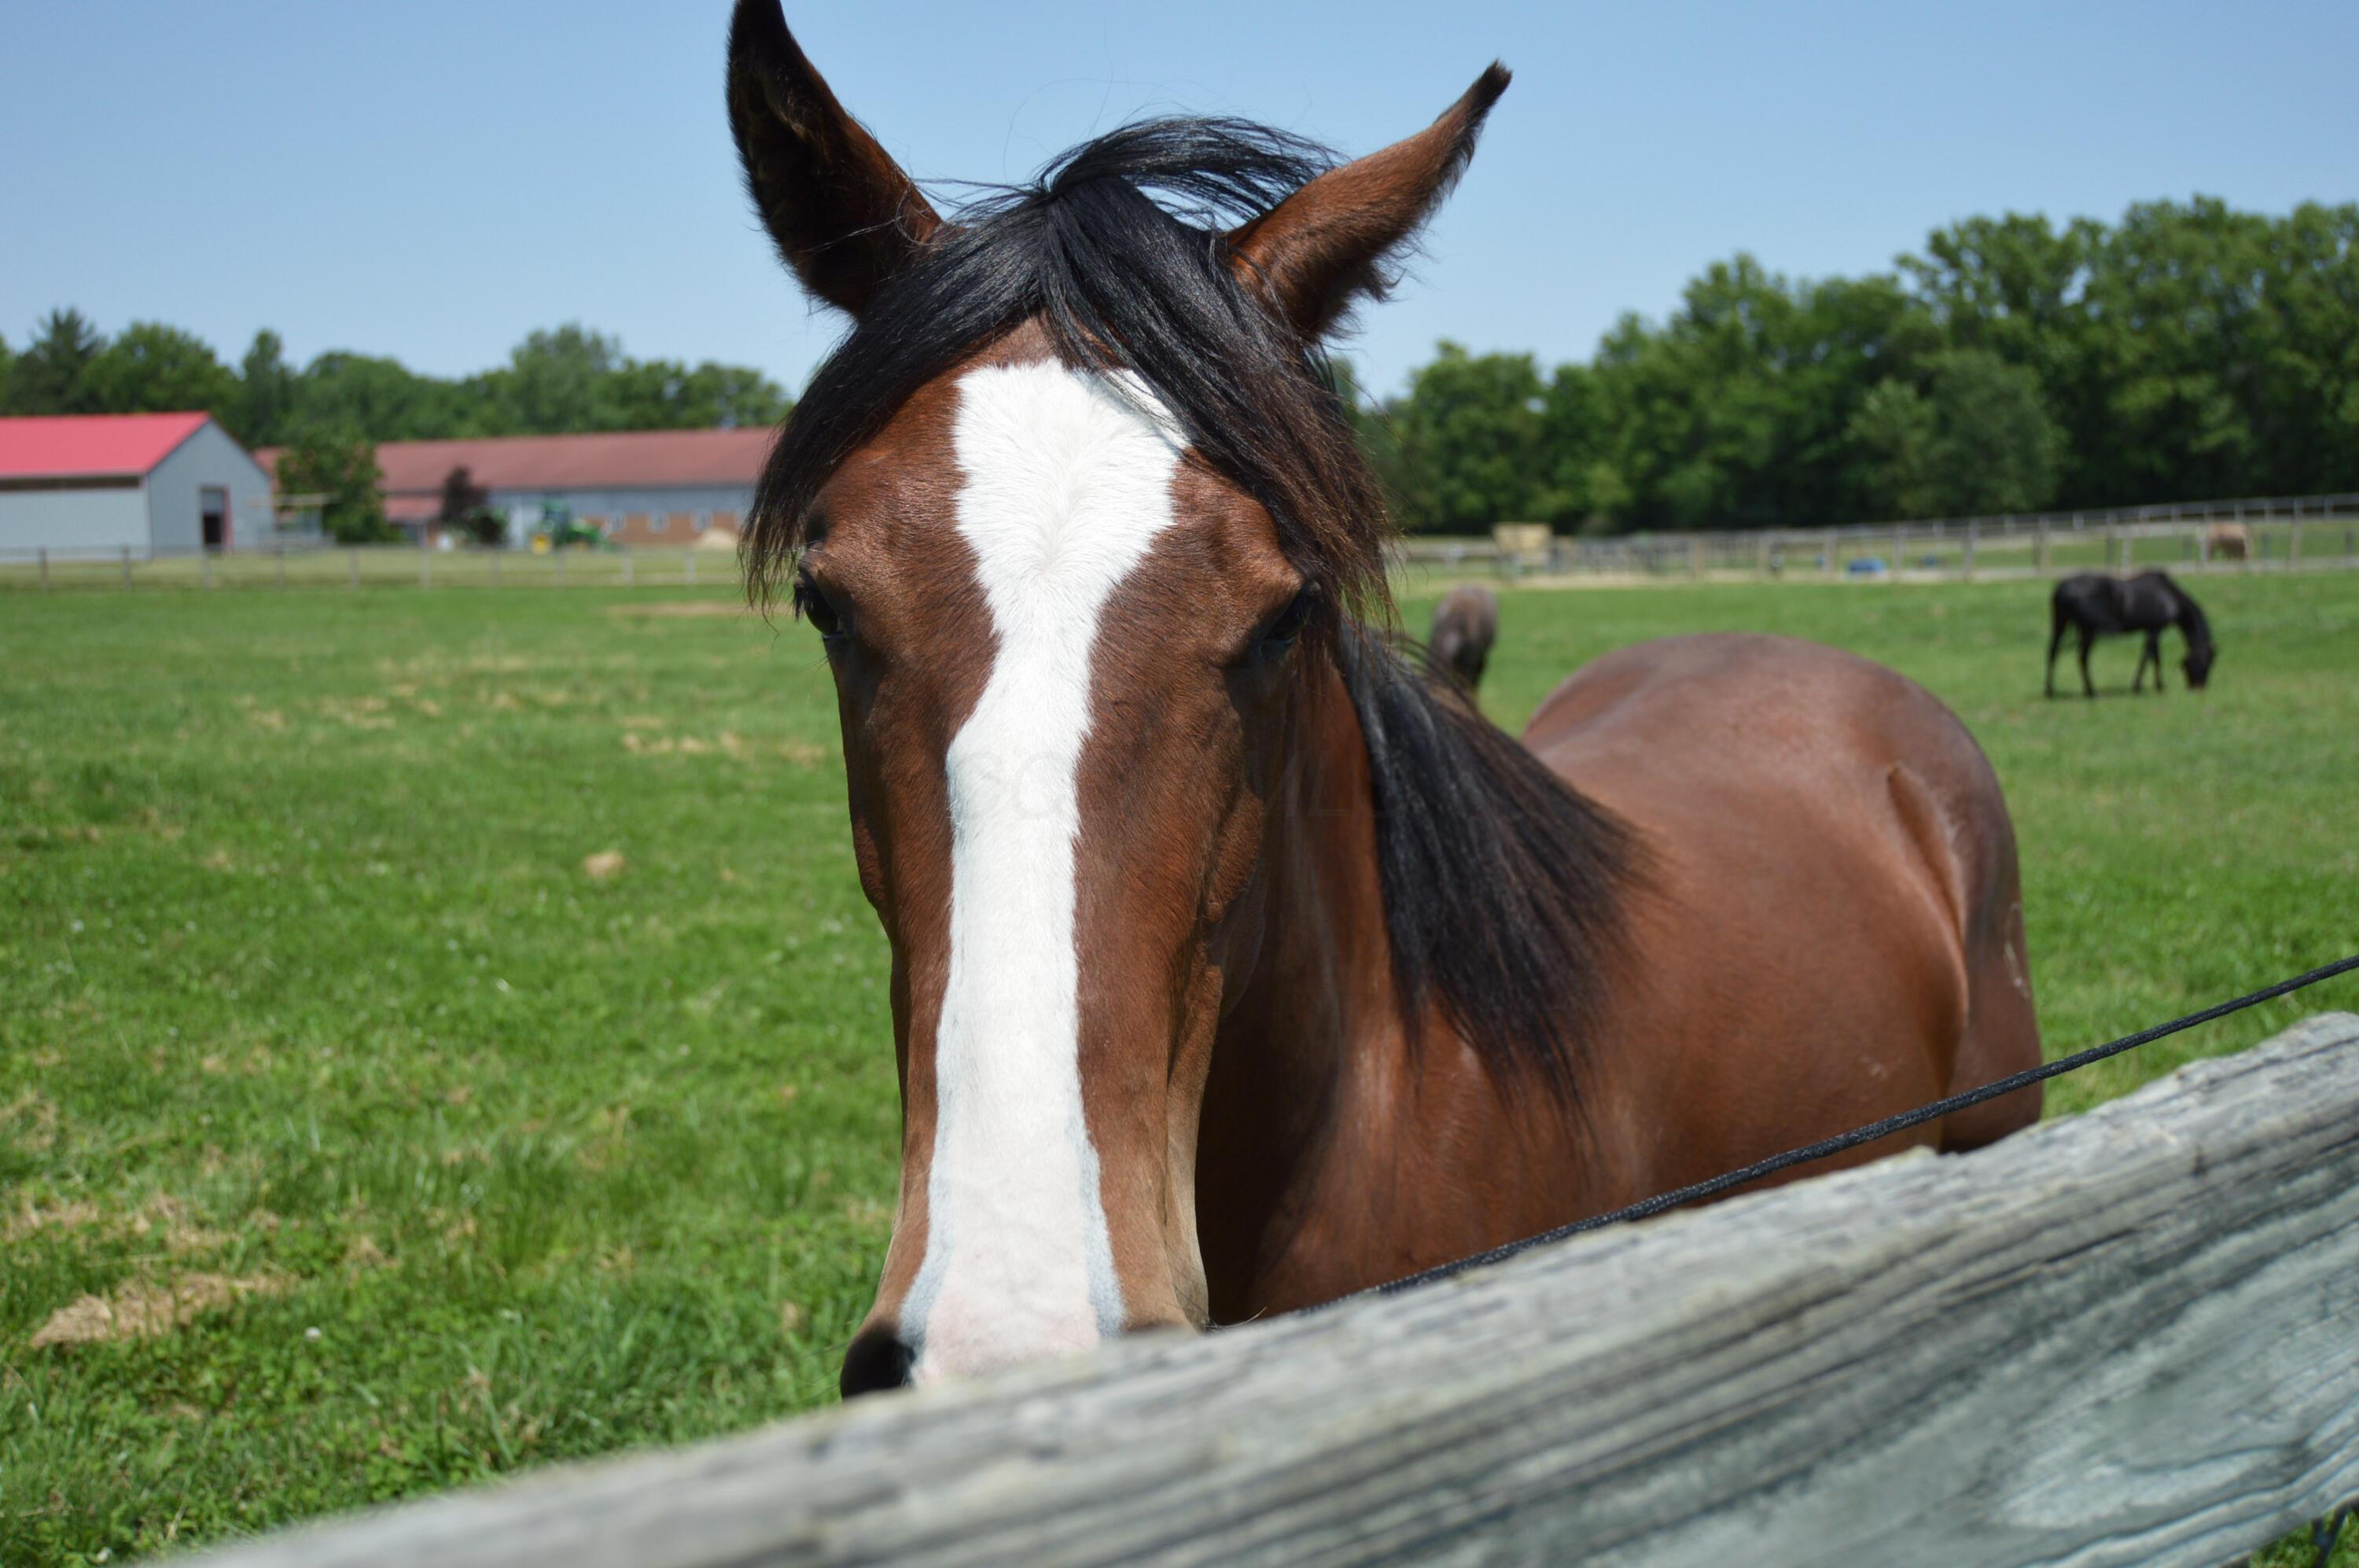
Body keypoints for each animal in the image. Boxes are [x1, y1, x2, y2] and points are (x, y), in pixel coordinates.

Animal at [2046, 570, 2216, 698]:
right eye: (2205, 663)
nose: (2200, 688)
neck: (2170, 596)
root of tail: (2061, 588)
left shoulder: (2150, 630)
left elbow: (2150, 656)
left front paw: (2149, 686)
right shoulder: (2155, 629)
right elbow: (2152, 658)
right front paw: (2152, 686)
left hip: (2061, 623)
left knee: (2053, 652)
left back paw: (2050, 691)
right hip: (2087, 630)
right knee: (2082, 658)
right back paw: (2091, 692)